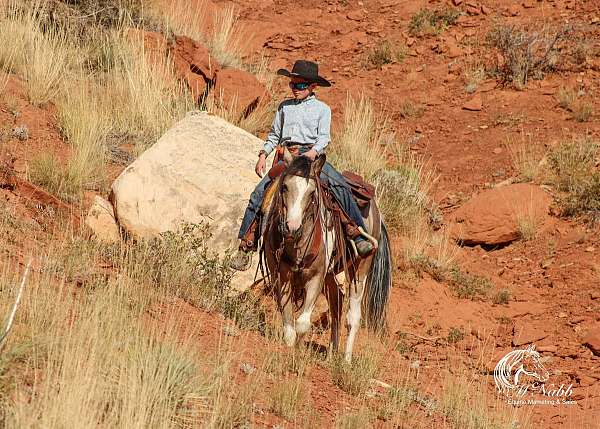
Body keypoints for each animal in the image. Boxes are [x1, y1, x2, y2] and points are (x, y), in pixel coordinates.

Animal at [258, 147, 394, 362]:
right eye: (285, 187)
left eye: (312, 192)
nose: (292, 227)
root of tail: (377, 212)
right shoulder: (281, 275)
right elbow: (289, 326)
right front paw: (290, 350)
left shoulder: (316, 277)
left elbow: (303, 324)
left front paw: (299, 352)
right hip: (331, 274)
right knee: (336, 304)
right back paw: (331, 353)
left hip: (360, 269)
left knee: (353, 317)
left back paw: (346, 360)